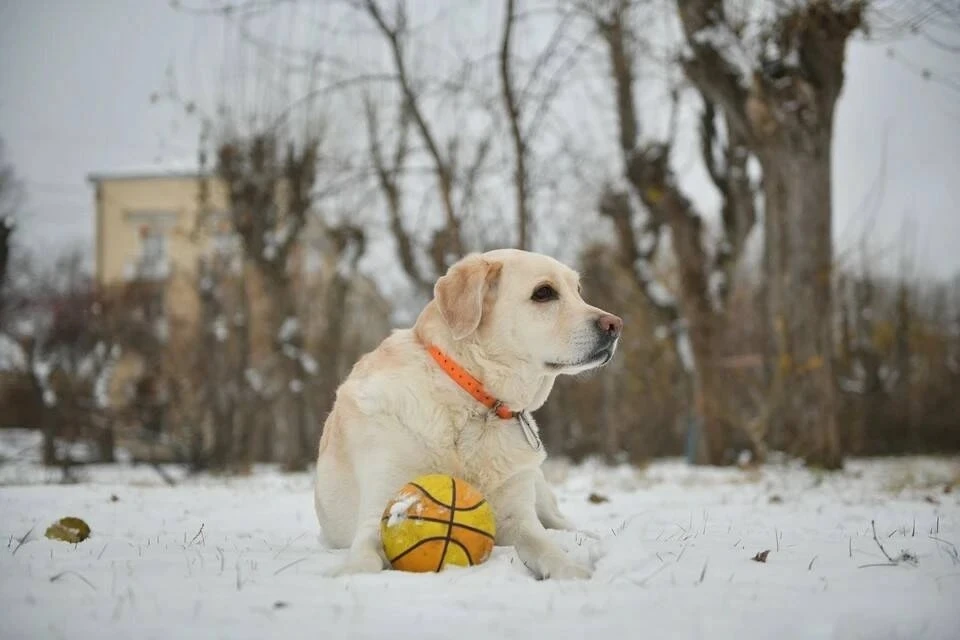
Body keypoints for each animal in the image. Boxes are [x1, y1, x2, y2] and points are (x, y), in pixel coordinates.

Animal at [316, 248, 624, 576]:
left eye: (578, 290)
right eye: (543, 293)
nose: (615, 325)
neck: (474, 405)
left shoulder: (519, 519)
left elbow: (546, 547)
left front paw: (572, 572)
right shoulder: (378, 513)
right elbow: (364, 561)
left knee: (561, 523)